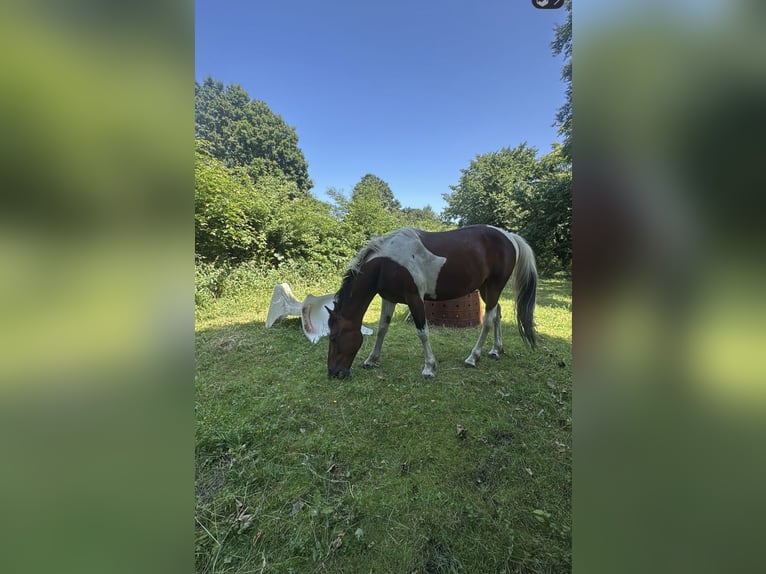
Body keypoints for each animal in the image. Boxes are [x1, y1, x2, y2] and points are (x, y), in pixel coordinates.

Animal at [326, 224, 538, 378]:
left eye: (334, 337)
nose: (333, 372)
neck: (387, 262)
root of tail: (509, 236)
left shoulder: (415, 299)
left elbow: (422, 332)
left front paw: (429, 367)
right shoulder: (388, 299)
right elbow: (382, 329)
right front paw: (371, 360)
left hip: (493, 287)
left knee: (487, 320)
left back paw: (472, 358)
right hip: (486, 289)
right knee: (497, 313)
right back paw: (495, 350)